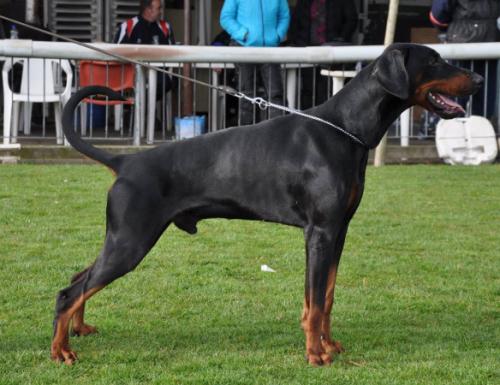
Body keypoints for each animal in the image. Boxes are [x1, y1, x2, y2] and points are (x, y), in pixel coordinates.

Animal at [49, 43, 480, 364]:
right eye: (435, 60)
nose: (477, 78)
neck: (346, 129)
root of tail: (125, 162)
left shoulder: (338, 231)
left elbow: (326, 296)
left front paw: (329, 345)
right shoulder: (319, 232)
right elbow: (314, 302)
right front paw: (315, 355)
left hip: (122, 239)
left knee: (79, 278)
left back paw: (79, 330)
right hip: (131, 241)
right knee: (69, 292)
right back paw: (61, 351)